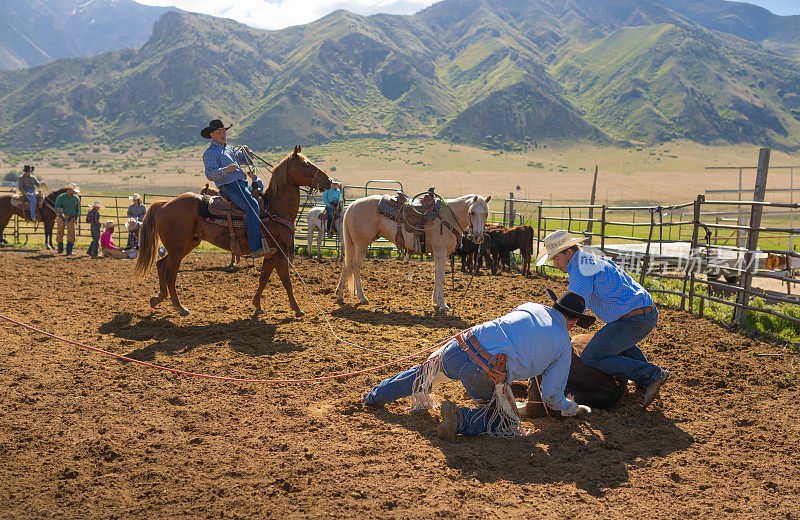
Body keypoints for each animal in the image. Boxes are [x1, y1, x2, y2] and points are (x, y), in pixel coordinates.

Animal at [136, 145, 330, 316]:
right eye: (304, 164)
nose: (328, 181)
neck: (274, 208)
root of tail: (164, 204)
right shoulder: (280, 253)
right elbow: (286, 281)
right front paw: (297, 309)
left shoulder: (271, 254)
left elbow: (264, 278)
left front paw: (257, 306)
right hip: (177, 248)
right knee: (170, 273)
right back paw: (180, 307)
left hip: (187, 244)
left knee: (161, 264)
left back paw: (157, 299)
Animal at [334, 193, 490, 310]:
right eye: (472, 212)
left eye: (486, 214)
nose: (479, 237)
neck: (449, 216)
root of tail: (352, 205)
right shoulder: (440, 252)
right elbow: (441, 277)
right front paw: (442, 304)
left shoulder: (440, 254)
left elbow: (436, 276)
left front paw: (435, 301)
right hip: (361, 244)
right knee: (355, 266)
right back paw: (362, 297)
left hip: (354, 244)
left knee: (347, 265)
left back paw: (340, 296)